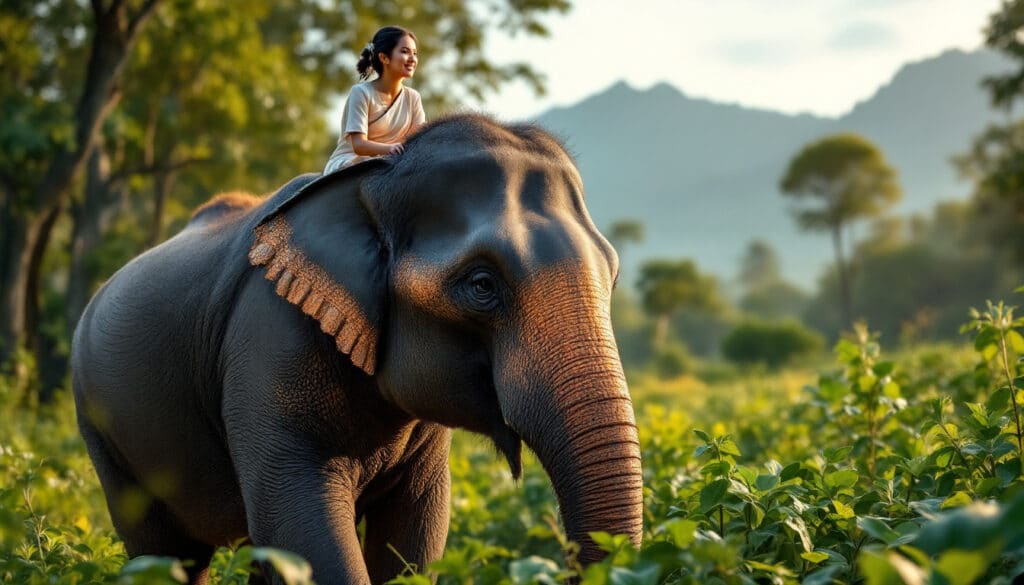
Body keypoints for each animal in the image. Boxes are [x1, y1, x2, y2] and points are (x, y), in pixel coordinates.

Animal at [74, 115, 638, 585]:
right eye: (482, 285)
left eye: (612, 277)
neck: (369, 185)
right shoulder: (270, 340)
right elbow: (299, 523)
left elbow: (416, 531)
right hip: (102, 427)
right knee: (164, 554)